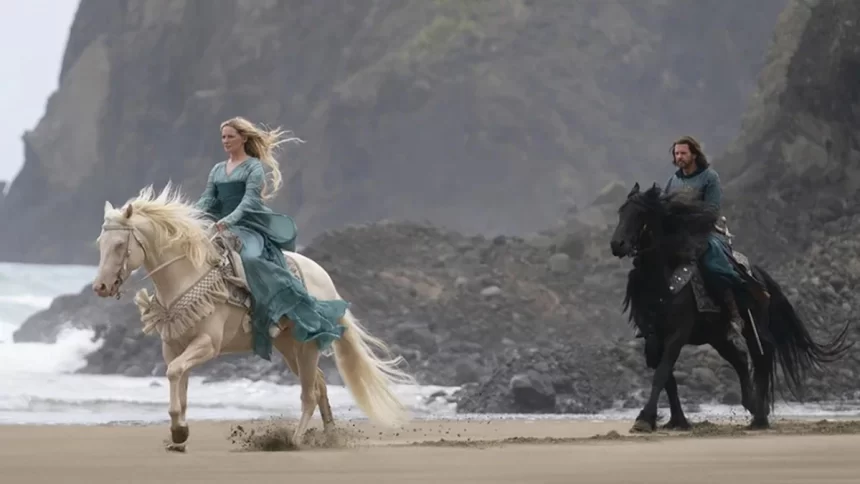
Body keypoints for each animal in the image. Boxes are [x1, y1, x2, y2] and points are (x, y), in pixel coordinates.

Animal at [92, 183, 414, 452]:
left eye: (120, 245)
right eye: (100, 244)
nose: (101, 287)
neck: (186, 276)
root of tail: (324, 278)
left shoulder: (207, 344)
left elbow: (174, 373)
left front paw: (179, 431)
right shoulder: (173, 346)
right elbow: (179, 383)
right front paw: (178, 435)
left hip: (307, 345)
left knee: (309, 393)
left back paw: (294, 440)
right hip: (288, 347)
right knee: (320, 385)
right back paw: (329, 435)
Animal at [608, 182, 848, 432]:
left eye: (639, 214)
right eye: (621, 212)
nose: (617, 244)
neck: (662, 281)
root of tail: (757, 273)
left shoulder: (678, 333)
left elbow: (662, 372)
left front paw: (645, 419)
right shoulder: (653, 336)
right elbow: (667, 377)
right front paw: (676, 420)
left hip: (752, 328)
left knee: (761, 355)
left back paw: (759, 417)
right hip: (716, 335)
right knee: (740, 359)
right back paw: (752, 406)